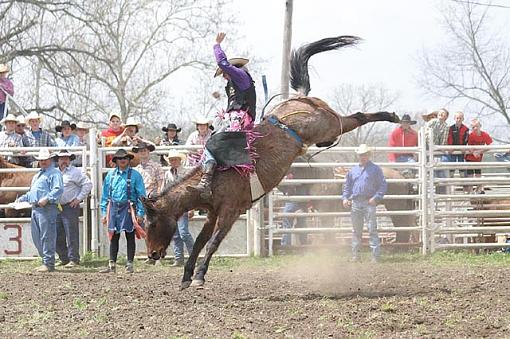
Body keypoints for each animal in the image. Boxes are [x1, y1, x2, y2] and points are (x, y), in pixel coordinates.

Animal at [141, 35, 400, 290]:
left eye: (152, 223)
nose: (152, 254)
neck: (213, 178)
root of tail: (301, 99)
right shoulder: (213, 213)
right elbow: (199, 242)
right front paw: (186, 276)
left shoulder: (231, 211)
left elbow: (213, 242)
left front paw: (199, 275)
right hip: (325, 136)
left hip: (327, 125)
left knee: (357, 117)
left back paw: (392, 116)